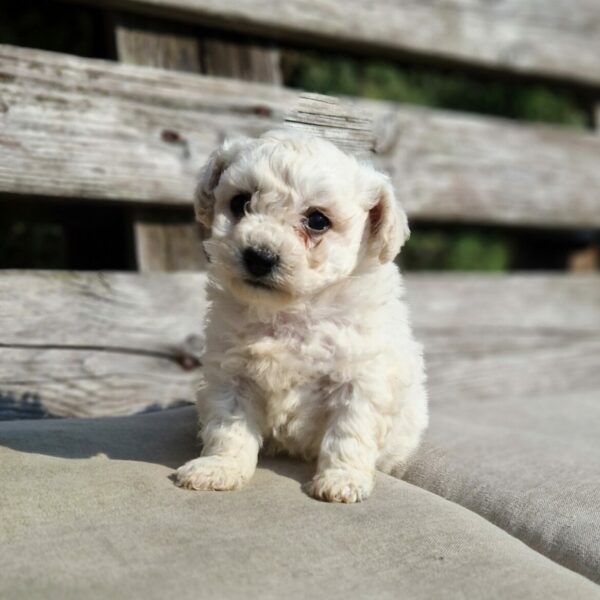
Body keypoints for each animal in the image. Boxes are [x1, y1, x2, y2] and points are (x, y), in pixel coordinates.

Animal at [176, 130, 428, 502]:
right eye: (240, 202)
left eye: (318, 220)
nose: (259, 256)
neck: (291, 310)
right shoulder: (231, 373)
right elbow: (229, 424)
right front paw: (219, 468)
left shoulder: (361, 378)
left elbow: (348, 432)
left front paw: (342, 480)